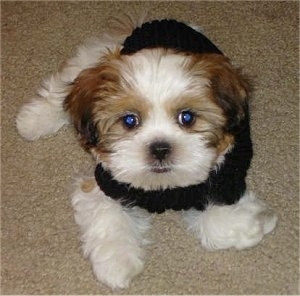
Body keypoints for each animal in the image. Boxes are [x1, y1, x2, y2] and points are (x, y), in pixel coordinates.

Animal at [16, 16, 278, 290]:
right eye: (130, 120)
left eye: (187, 117)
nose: (160, 148)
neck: (162, 188)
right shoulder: (107, 181)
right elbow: (106, 214)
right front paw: (116, 265)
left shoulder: (223, 182)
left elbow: (219, 221)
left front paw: (259, 222)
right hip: (94, 59)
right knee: (63, 88)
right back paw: (32, 120)